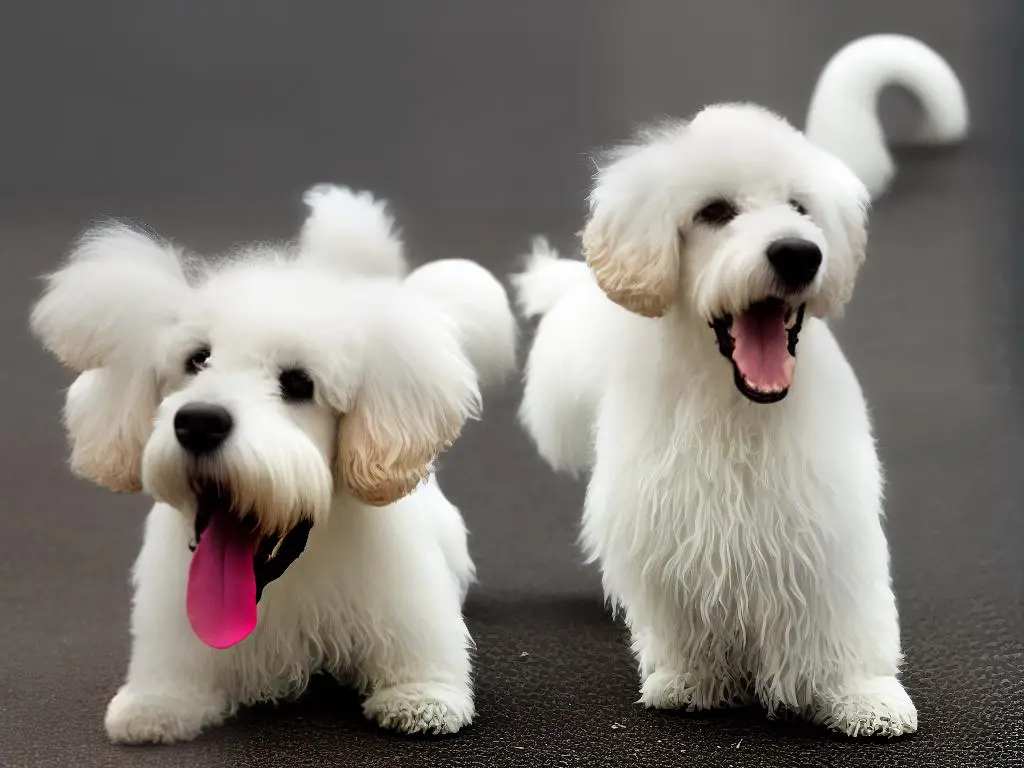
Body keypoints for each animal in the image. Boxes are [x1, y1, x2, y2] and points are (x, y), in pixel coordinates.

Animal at [29, 183, 516, 741]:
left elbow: (420, 658)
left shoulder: (405, 597)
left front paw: (421, 697)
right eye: (198, 359)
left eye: (299, 382)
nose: (199, 422)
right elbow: (173, 676)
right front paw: (156, 705)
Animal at [520, 37, 966, 741]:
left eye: (802, 208)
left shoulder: (828, 521)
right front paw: (692, 680)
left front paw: (863, 697)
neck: (737, 409)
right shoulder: (668, 521)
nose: (798, 253)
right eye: (714, 212)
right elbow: (682, 616)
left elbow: (844, 621)